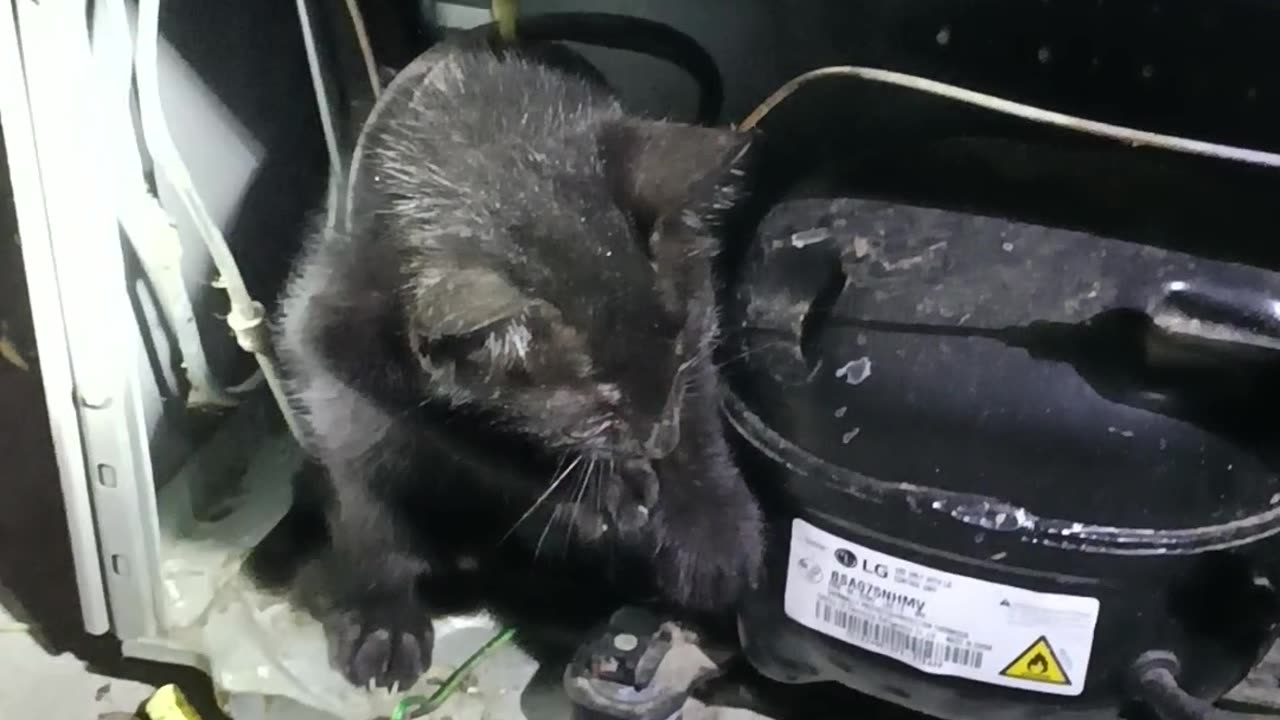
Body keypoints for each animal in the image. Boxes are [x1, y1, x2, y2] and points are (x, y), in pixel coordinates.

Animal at [272, 46, 757, 691]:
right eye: (599, 408)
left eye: (677, 355)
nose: (659, 441)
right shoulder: (331, 327)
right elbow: (451, 420)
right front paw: (595, 487)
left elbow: (702, 401)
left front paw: (719, 531)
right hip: (342, 423)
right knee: (367, 505)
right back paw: (385, 618)